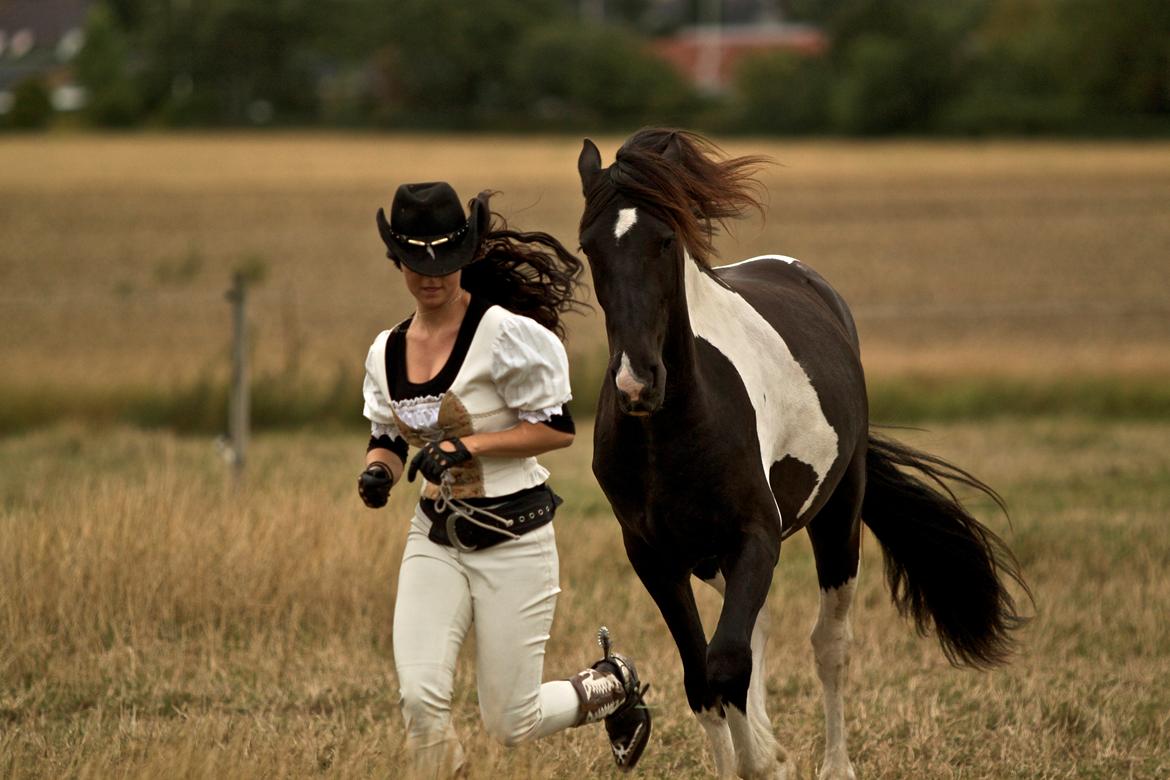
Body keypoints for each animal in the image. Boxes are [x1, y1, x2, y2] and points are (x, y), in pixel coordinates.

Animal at [575, 128, 1024, 780]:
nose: (637, 383)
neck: (675, 431)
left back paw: (834, 766)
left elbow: (727, 662)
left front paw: (766, 762)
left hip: (837, 517)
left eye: (665, 240)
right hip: (715, 559)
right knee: (752, 638)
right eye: (588, 248)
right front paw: (756, 756)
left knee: (828, 645)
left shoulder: (756, 536)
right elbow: (703, 679)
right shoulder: (654, 558)